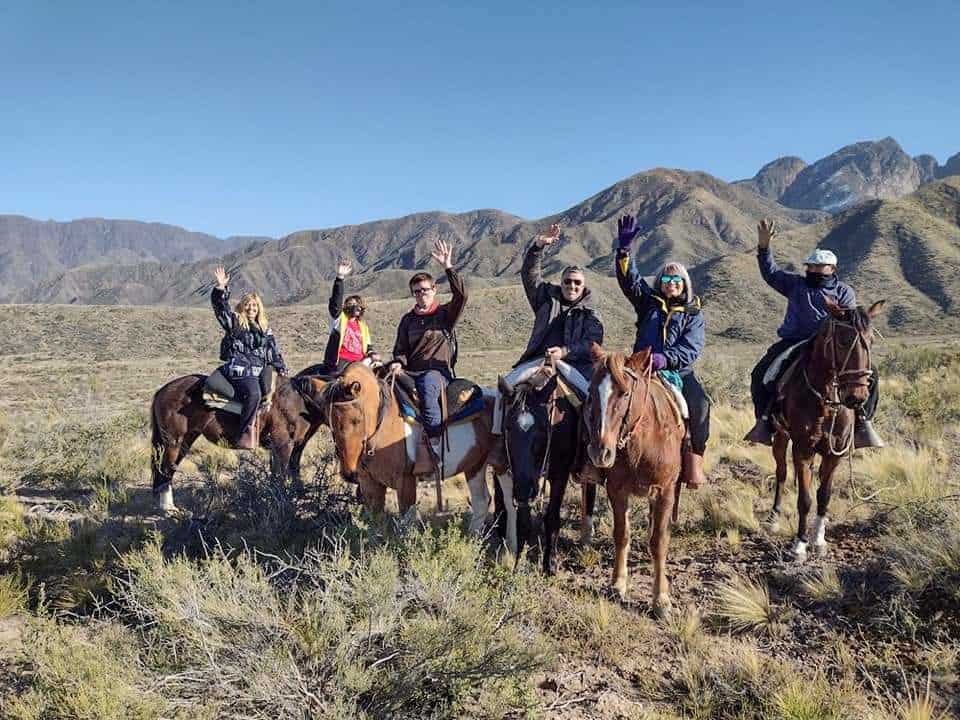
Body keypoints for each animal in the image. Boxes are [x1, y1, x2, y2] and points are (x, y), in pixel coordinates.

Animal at [149, 372, 330, 512]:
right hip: (174, 442)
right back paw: (168, 508)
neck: (298, 401)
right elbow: (281, 476)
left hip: (185, 441)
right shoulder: (283, 445)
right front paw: (282, 501)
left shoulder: (295, 446)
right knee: (165, 469)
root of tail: (162, 391)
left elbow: (291, 470)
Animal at [322, 362, 496, 532]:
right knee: (481, 500)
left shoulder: (406, 481)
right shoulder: (370, 483)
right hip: (476, 464)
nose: (349, 474)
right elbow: (376, 523)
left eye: (357, 420)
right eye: (330, 421)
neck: (385, 423)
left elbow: (406, 522)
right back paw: (473, 537)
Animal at [580, 346, 688, 616]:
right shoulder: (617, 490)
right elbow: (622, 534)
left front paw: (661, 599)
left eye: (625, 393)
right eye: (591, 392)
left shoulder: (665, 491)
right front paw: (618, 584)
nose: (600, 452)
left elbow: (659, 542)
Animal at [764, 296, 884, 556]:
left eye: (871, 341)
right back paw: (774, 517)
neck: (825, 399)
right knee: (781, 472)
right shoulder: (803, 449)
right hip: (781, 437)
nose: (856, 398)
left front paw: (818, 539)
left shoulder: (835, 452)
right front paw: (799, 544)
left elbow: (824, 495)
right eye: (842, 341)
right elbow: (805, 499)